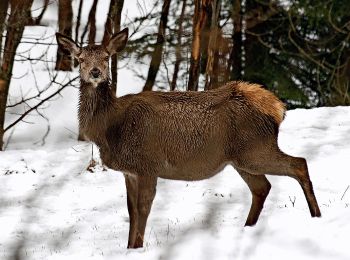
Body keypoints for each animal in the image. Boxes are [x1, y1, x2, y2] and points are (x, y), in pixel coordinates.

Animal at [56, 27, 322, 249]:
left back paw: (316, 216)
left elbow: (143, 209)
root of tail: (277, 108)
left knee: (299, 163)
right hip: (241, 158)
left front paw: (137, 248)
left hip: (256, 149)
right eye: (80, 59)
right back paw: (248, 228)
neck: (110, 128)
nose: (95, 72)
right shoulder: (130, 171)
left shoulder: (147, 164)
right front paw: (129, 247)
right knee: (262, 187)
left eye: (106, 57)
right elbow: (131, 211)